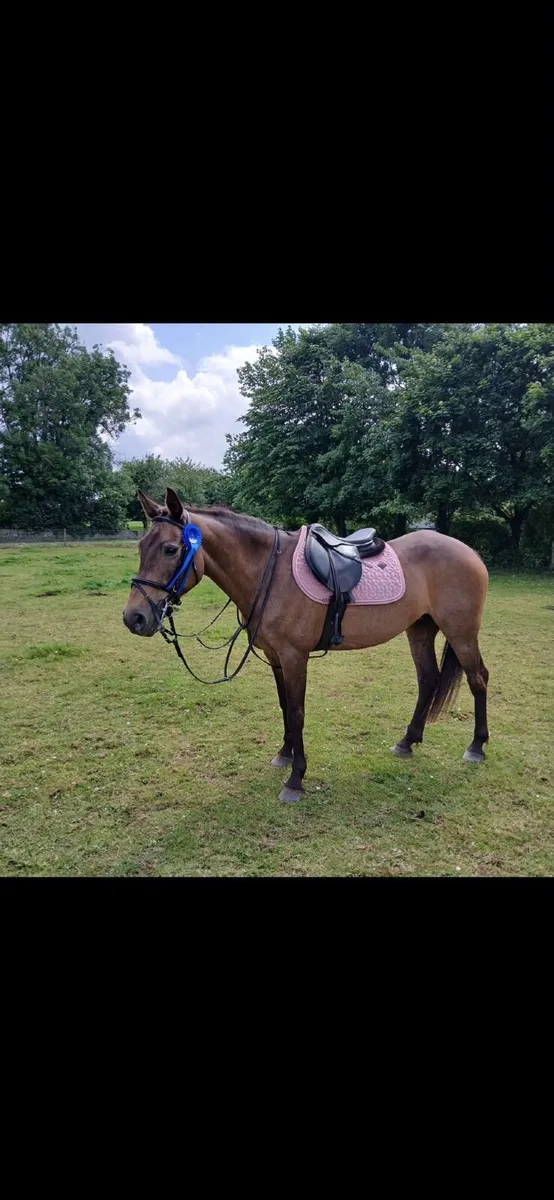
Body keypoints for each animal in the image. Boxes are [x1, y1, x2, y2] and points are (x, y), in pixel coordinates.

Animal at [123, 487, 490, 804]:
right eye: (141, 548)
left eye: (170, 549)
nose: (134, 618)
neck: (270, 573)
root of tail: (468, 551)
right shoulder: (275, 656)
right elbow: (285, 706)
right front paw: (284, 755)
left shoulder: (295, 657)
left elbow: (297, 713)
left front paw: (296, 780)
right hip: (421, 629)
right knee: (428, 679)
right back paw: (407, 741)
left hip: (461, 632)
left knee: (478, 679)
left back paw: (476, 746)